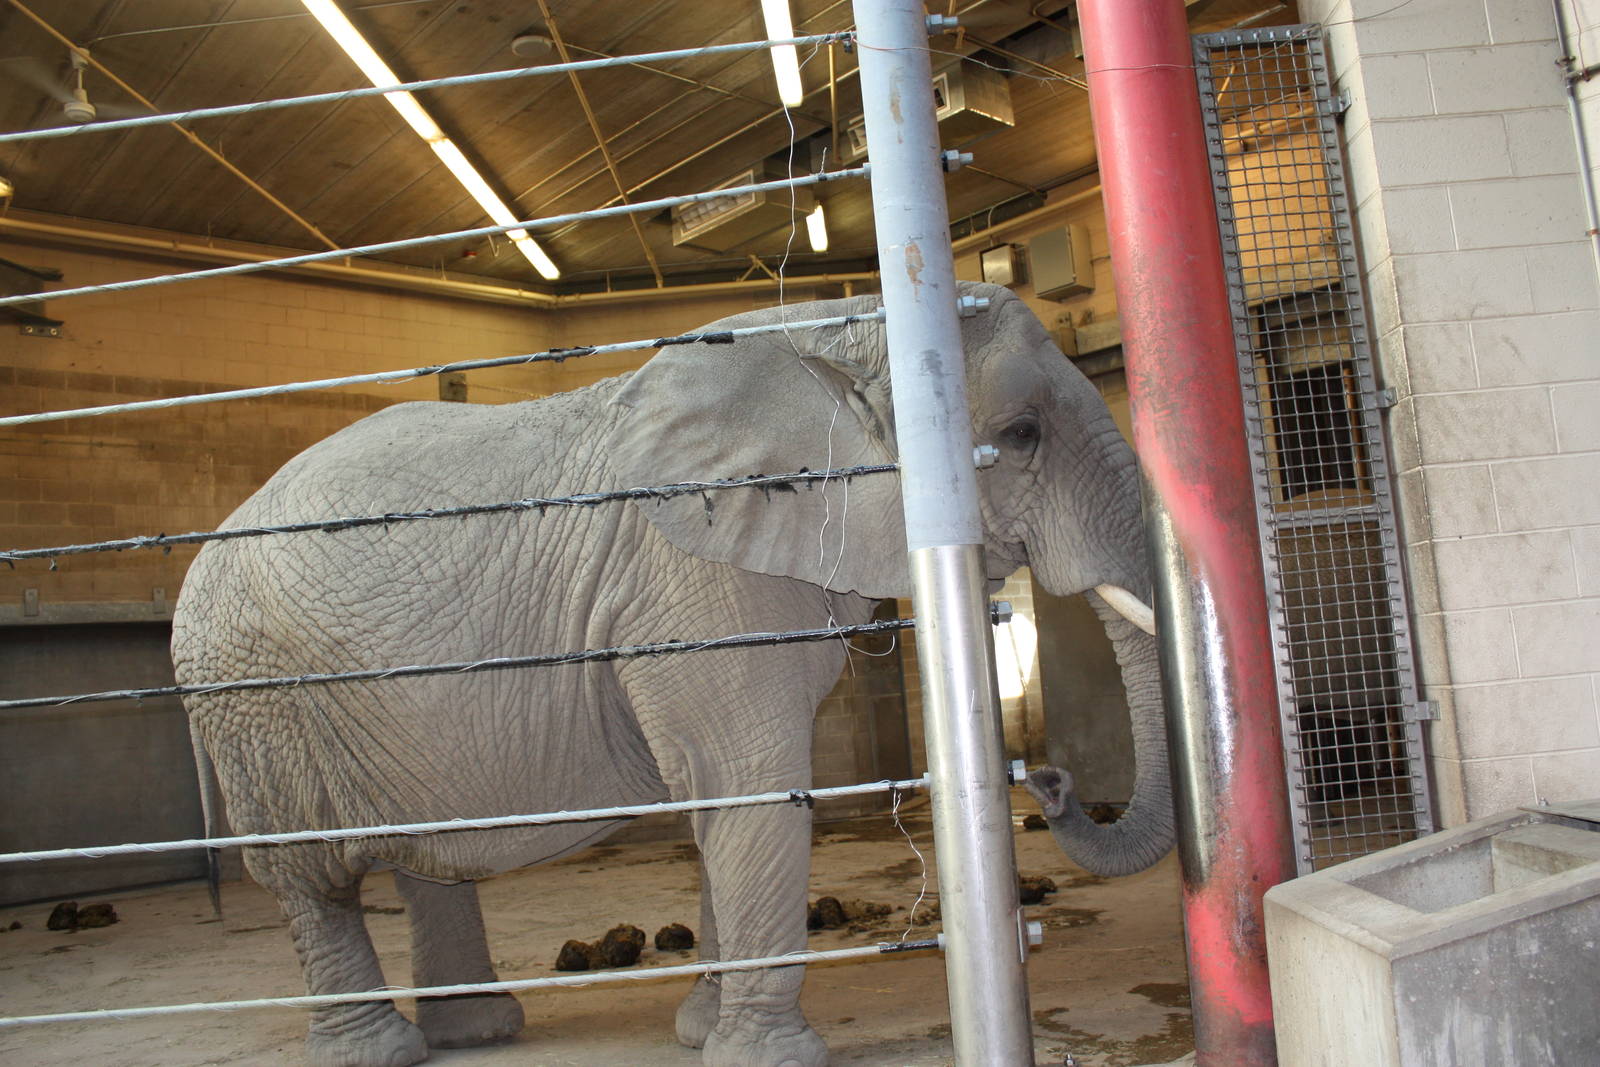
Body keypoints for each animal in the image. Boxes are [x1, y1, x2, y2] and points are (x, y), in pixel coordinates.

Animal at [170, 281, 1172, 1067]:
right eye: (1021, 431)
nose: (1052, 780)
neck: (832, 323)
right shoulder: (693, 575)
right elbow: (751, 779)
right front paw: (766, 1056)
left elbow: (723, 796)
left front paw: (699, 1032)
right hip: (250, 693)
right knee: (311, 876)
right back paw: (377, 1049)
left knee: (427, 857)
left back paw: (480, 1032)